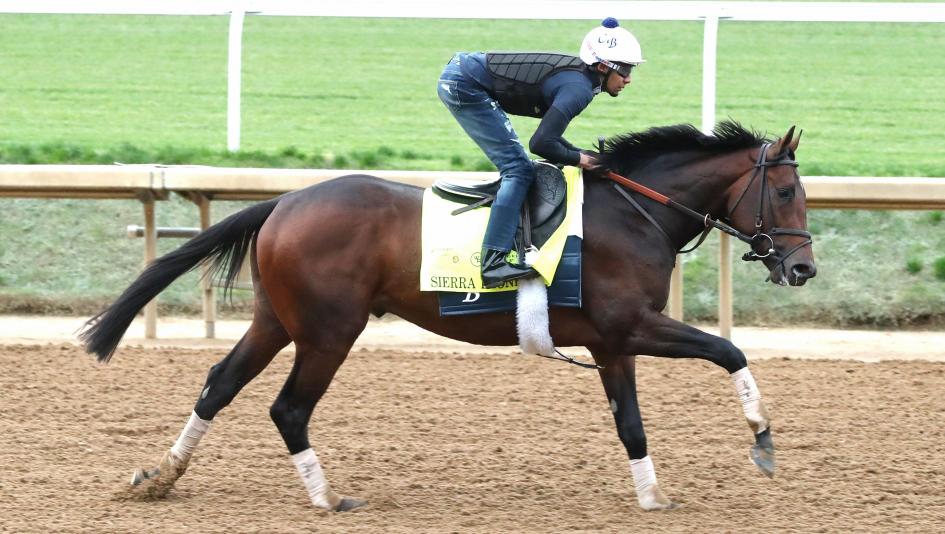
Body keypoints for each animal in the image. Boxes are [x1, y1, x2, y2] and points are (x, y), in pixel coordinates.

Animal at [80, 121, 815, 512]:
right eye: (784, 192)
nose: (803, 268)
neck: (634, 213)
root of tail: (283, 202)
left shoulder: (614, 345)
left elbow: (630, 423)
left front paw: (652, 496)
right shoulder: (631, 327)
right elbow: (730, 352)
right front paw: (762, 442)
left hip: (277, 320)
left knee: (219, 383)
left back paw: (160, 477)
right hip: (329, 330)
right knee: (288, 408)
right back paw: (327, 498)